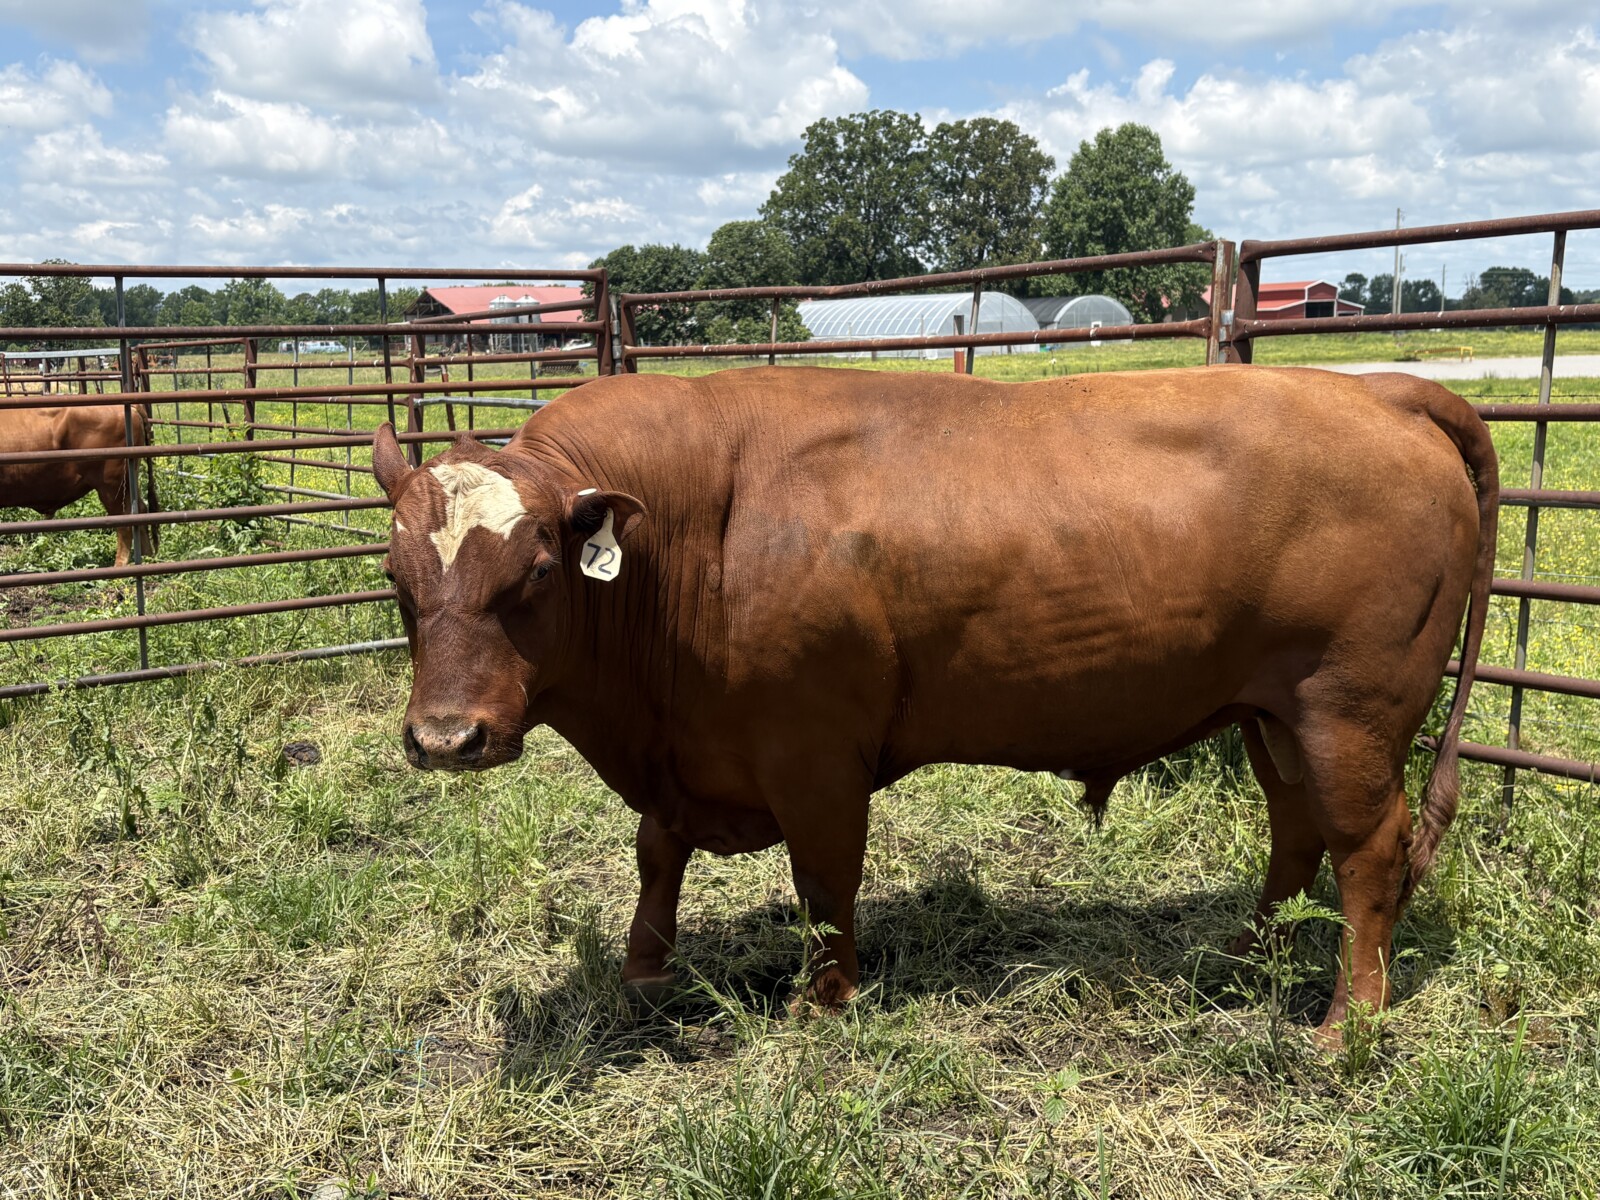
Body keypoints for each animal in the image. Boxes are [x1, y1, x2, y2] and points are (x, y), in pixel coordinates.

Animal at [0, 404, 160, 567]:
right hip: (128, 483)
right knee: (141, 512)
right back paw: (148, 558)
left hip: (113, 488)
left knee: (125, 524)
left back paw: (120, 565)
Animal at [371, 365, 1497, 1043]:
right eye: (394, 577)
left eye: (536, 574)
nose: (446, 737)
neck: (699, 528)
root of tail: (1379, 390)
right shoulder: (687, 752)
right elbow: (657, 855)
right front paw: (645, 975)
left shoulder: (815, 754)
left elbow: (825, 880)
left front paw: (823, 1004)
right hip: (1273, 715)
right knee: (1295, 832)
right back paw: (1241, 954)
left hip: (1347, 713)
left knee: (1368, 850)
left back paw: (1347, 1025)